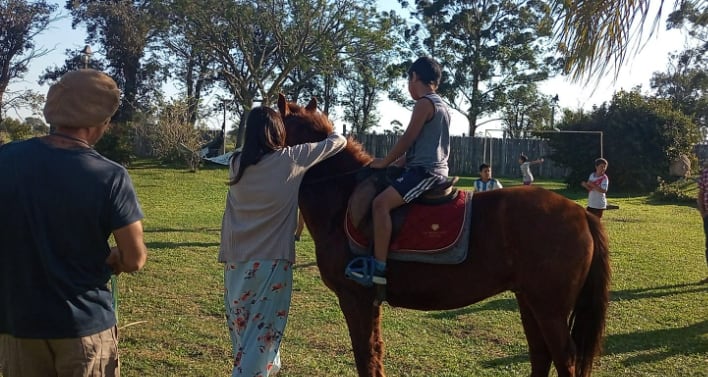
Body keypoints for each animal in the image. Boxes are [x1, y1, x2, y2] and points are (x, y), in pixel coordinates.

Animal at [280, 93, 612, 376]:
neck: (343, 198)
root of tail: (580, 213)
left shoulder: (354, 298)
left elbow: (365, 355)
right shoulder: (367, 302)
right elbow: (374, 352)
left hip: (549, 308)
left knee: (563, 358)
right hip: (530, 301)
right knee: (541, 354)